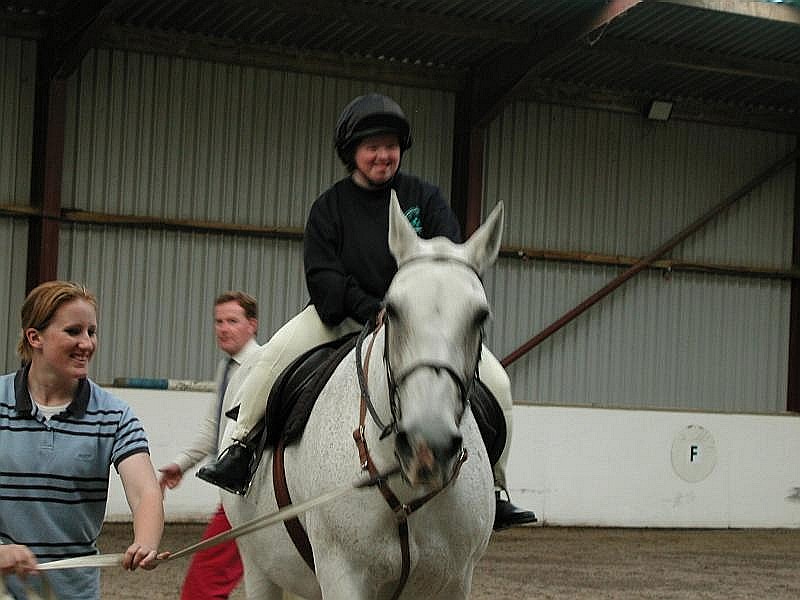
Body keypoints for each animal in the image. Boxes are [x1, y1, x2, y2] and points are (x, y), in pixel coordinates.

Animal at [222, 195, 504, 596]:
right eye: (394, 310)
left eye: (480, 316)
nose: (427, 447)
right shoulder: (343, 575)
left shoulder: (455, 580)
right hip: (259, 565)